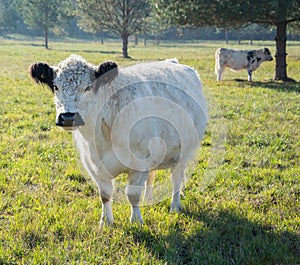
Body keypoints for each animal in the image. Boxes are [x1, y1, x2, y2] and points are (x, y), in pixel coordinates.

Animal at [28, 54, 206, 227]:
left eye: (88, 87)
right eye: (56, 87)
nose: (67, 117)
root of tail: (173, 62)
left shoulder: (139, 164)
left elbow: (132, 194)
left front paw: (136, 221)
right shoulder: (93, 166)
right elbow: (105, 195)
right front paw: (106, 222)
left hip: (184, 153)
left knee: (176, 180)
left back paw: (174, 206)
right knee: (152, 176)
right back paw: (148, 200)